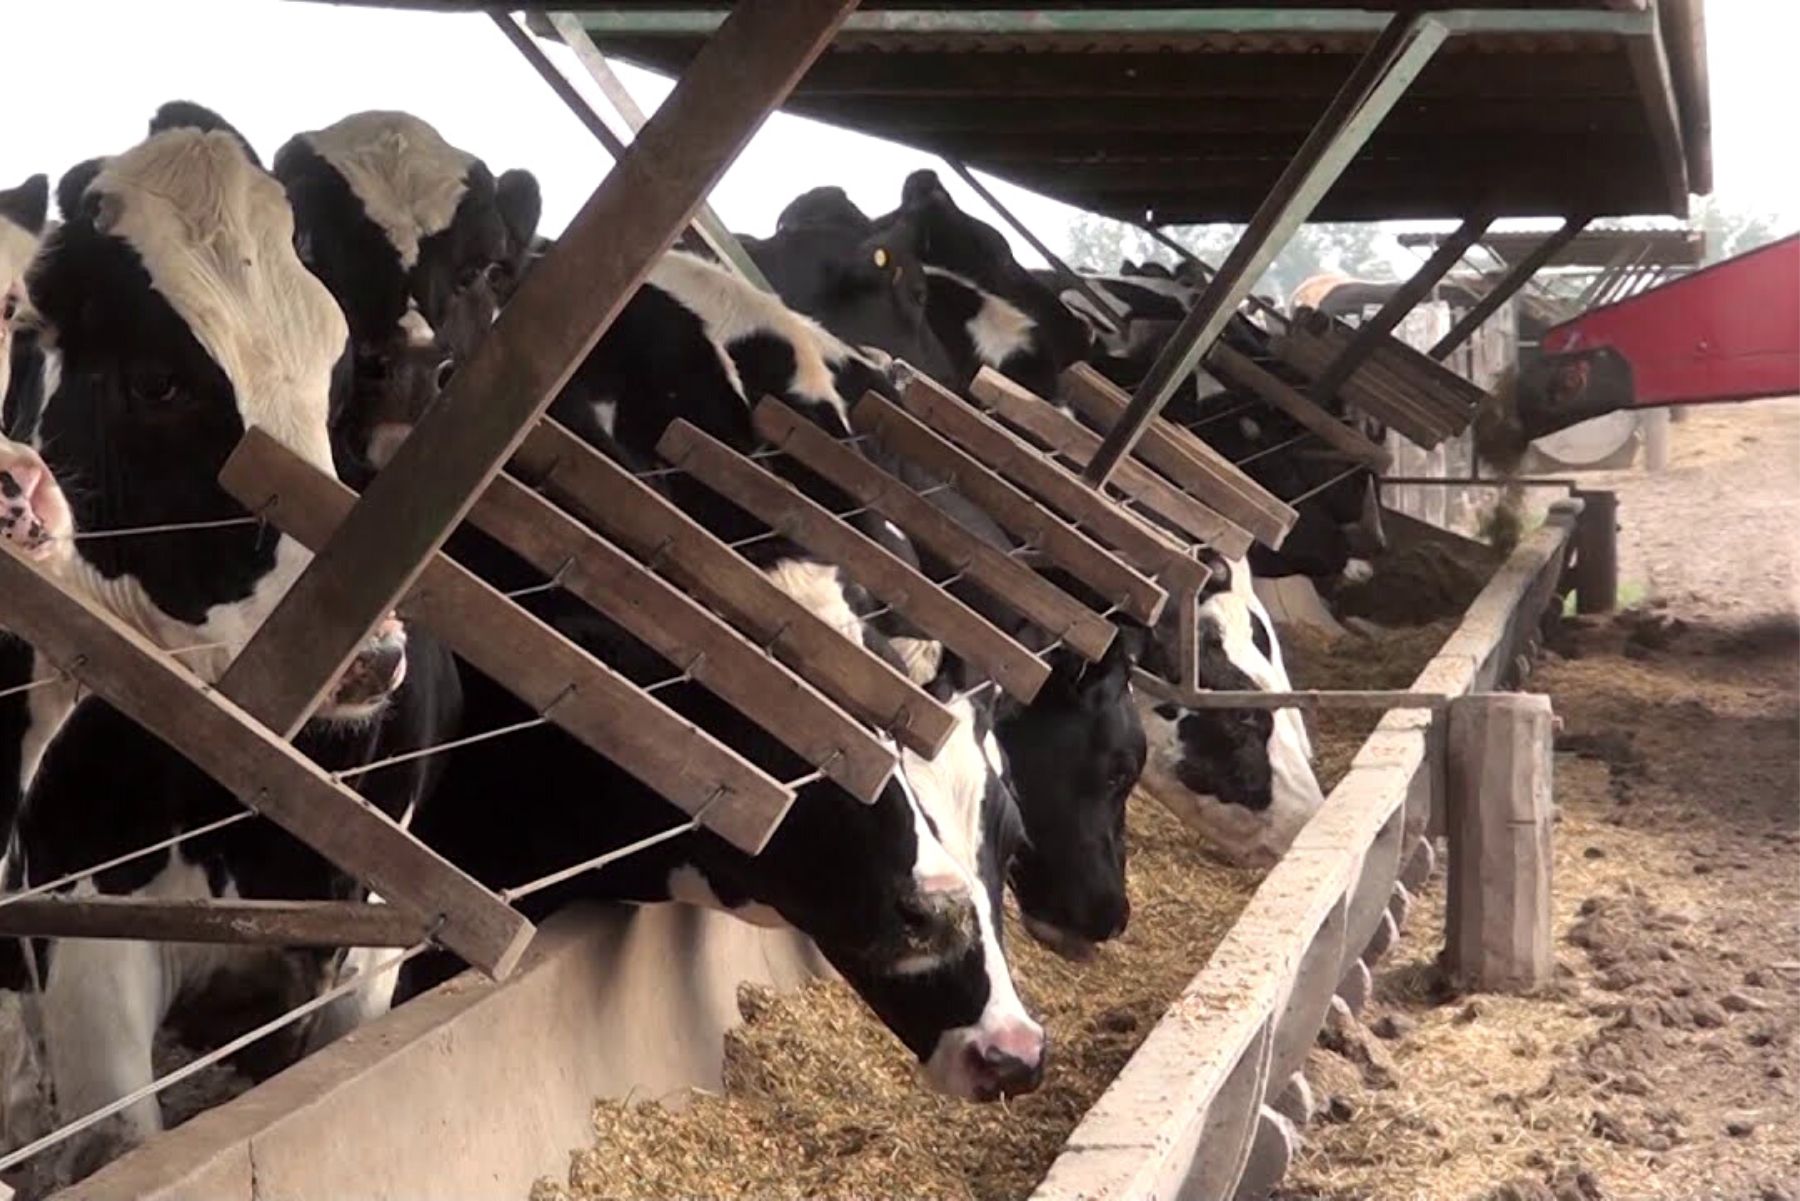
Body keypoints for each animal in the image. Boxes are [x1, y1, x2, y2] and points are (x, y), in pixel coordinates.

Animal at [0, 112, 446, 1195]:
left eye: (339, 374)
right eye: (158, 380)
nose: (371, 658)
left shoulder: (369, 951)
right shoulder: (86, 934)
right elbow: (121, 1139)